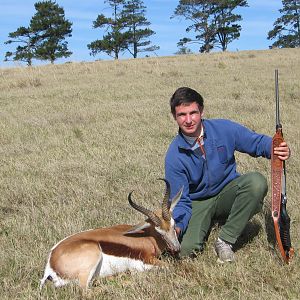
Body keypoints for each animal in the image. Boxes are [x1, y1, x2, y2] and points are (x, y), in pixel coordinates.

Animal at [40, 179, 183, 290]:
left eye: (173, 224)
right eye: (160, 232)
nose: (176, 248)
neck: (147, 237)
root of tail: (51, 263)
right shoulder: (146, 262)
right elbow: (170, 266)